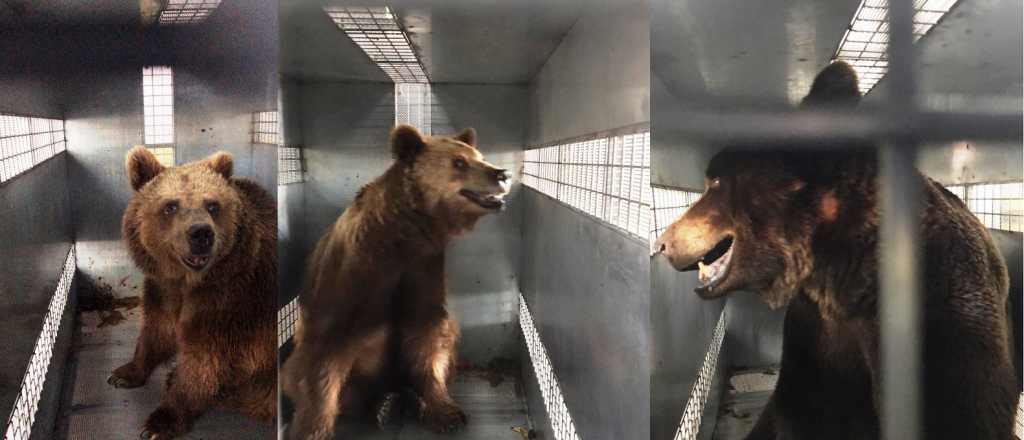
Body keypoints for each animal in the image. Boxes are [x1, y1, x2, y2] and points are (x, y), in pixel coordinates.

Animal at [109, 147, 277, 439]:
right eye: (171, 206)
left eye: (212, 205)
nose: (201, 233)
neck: (188, 281)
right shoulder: (163, 290)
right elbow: (156, 330)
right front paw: (126, 373)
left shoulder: (228, 303)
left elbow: (203, 360)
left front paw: (160, 422)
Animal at [281, 125, 511, 439]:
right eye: (459, 162)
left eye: (481, 156)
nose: (502, 174)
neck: (400, 236)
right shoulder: (352, 280)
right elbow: (323, 358)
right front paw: (312, 429)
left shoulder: (422, 268)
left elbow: (429, 334)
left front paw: (444, 410)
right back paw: (383, 404)